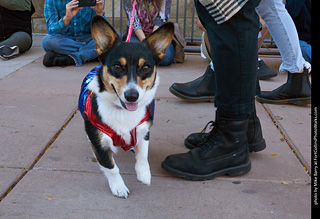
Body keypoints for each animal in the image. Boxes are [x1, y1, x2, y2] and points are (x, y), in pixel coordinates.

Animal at [79, 15, 174, 198]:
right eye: (117, 66)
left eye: (146, 67)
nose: (131, 96)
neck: (122, 111)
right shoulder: (99, 143)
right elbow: (111, 167)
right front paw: (119, 187)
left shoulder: (144, 131)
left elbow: (143, 156)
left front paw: (144, 175)